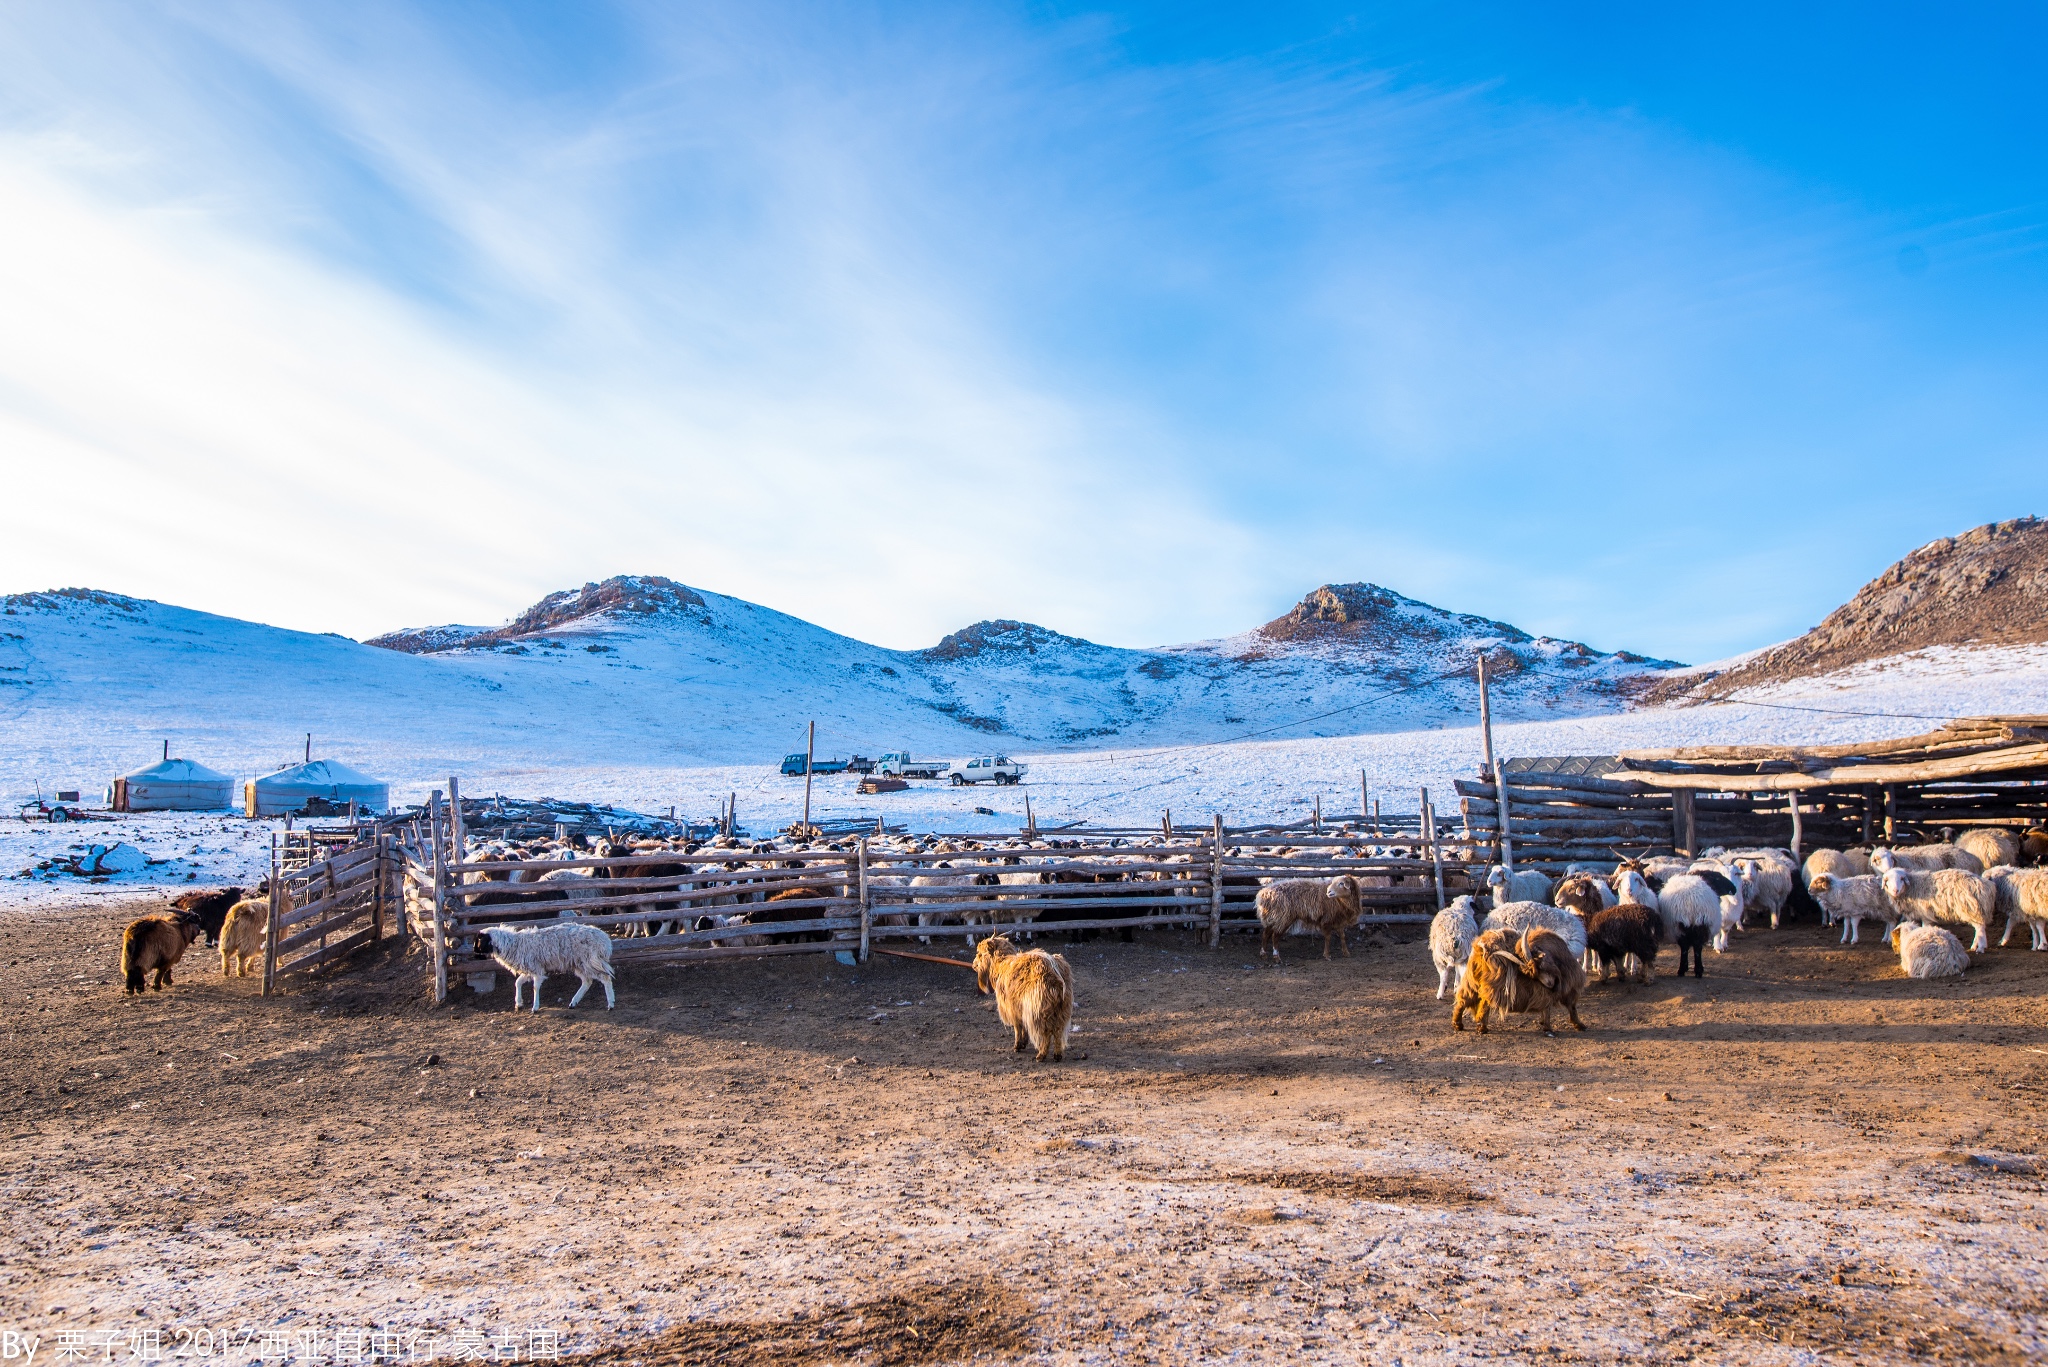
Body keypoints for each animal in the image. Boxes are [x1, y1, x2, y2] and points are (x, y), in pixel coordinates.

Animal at [479, 918, 614, 1016]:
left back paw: (611, 1004)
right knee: (587, 981)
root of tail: (605, 940)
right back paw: (573, 1003)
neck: (514, 944)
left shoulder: (537, 969)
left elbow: (535, 987)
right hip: (579, 963)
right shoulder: (529, 969)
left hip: (590, 961)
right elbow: (518, 982)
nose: (475, 952)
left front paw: (535, 1007)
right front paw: (518, 1004)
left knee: (605, 978)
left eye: (479, 941)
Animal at [970, 934, 1073, 1065]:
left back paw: (1041, 1055)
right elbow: (1024, 1025)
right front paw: (1024, 1042)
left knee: (1046, 1032)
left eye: (980, 953)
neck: (1002, 964)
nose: (973, 965)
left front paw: (1018, 1045)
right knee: (1058, 1031)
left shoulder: (1013, 1008)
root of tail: (1055, 972)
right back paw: (1057, 1055)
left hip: (1040, 1010)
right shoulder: (1021, 1008)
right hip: (1061, 1010)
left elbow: (1018, 1027)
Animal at [1449, 930, 1589, 1037]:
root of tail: (1483, 949)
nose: (1551, 984)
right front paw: (1578, 1026)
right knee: (1484, 1002)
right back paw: (1482, 1027)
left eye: (1540, 966)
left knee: (1464, 999)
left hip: (1471, 981)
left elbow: (1549, 1007)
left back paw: (1458, 1024)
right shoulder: (1562, 989)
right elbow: (1569, 1006)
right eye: (1537, 969)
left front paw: (1545, 1025)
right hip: (1493, 985)